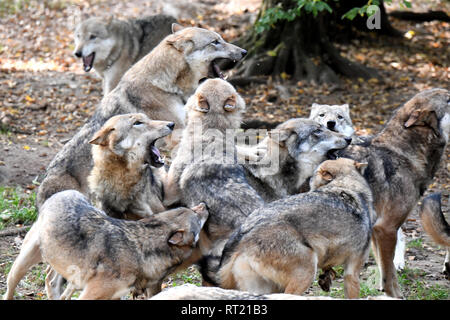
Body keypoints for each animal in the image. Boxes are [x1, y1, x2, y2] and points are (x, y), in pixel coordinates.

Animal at [3, 190, 208, 300]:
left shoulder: (115, 295)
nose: (205, 204)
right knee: (11, 285)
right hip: (24, 262)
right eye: (195, 214)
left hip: (67, 272)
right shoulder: (90, 295)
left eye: (192, 208)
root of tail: (67, 191)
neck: (140, 252)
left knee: (51, 279)